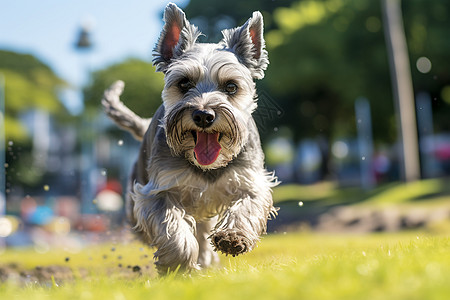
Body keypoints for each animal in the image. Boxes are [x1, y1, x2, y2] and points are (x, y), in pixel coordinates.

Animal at [102, 2, 278, 274]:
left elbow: (246, 207)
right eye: (184, 83)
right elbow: (172, 228)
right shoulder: (158, 192)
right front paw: (178, 262)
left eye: (231, 86)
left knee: (204, 233)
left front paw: (233, 236)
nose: (204, 115)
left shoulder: (250, 182)